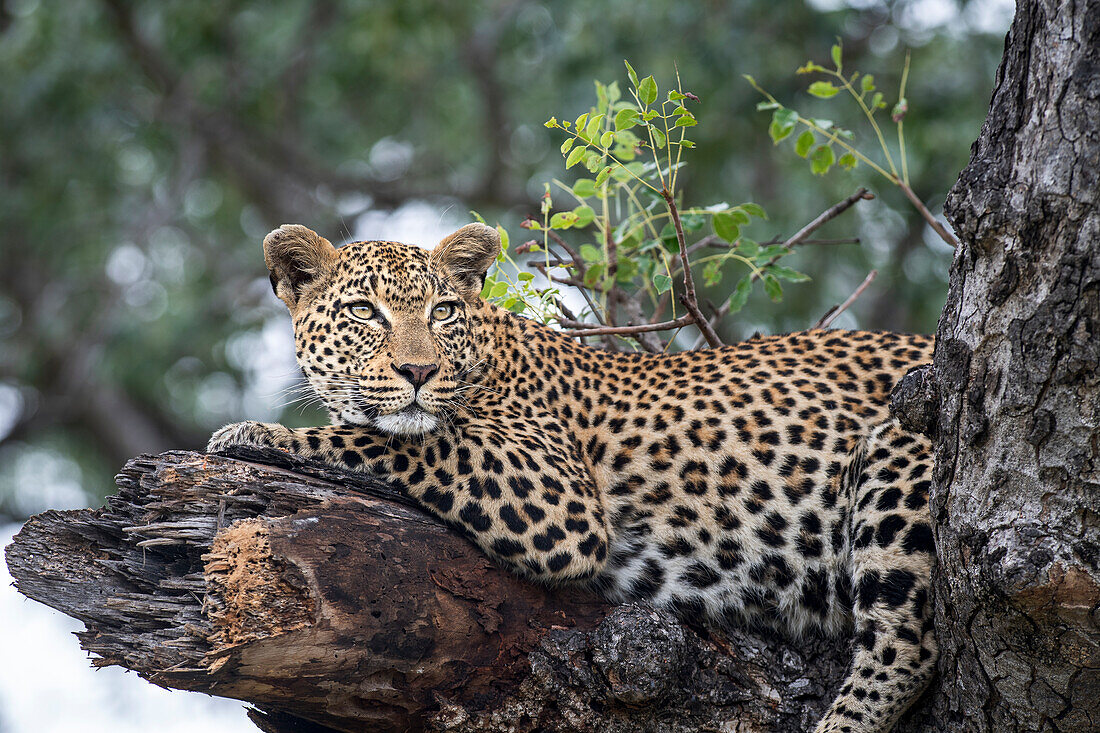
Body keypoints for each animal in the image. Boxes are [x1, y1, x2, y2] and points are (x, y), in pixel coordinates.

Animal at [207, 222, 937, 730]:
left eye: (442, 311)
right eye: (364, 312)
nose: (419, 371)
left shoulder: (557, 493)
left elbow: (399, 440)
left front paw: (252, 434)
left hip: (901, 451)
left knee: (908, 646)